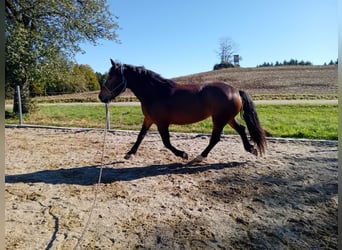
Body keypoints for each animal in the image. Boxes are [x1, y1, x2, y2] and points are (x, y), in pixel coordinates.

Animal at [97, 60, 266, 162]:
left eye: (112, 77)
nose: (101, 96)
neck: (156, 92)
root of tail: (236, 90)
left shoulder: (161, 122)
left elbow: (166, 142)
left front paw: (183, 154)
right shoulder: (149, 119)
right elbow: (140, 136)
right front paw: (130, 153)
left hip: (219, 119)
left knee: (215, 138)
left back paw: (200, 156)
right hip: (228, 118)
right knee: (241, 129)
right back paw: (251, 149)